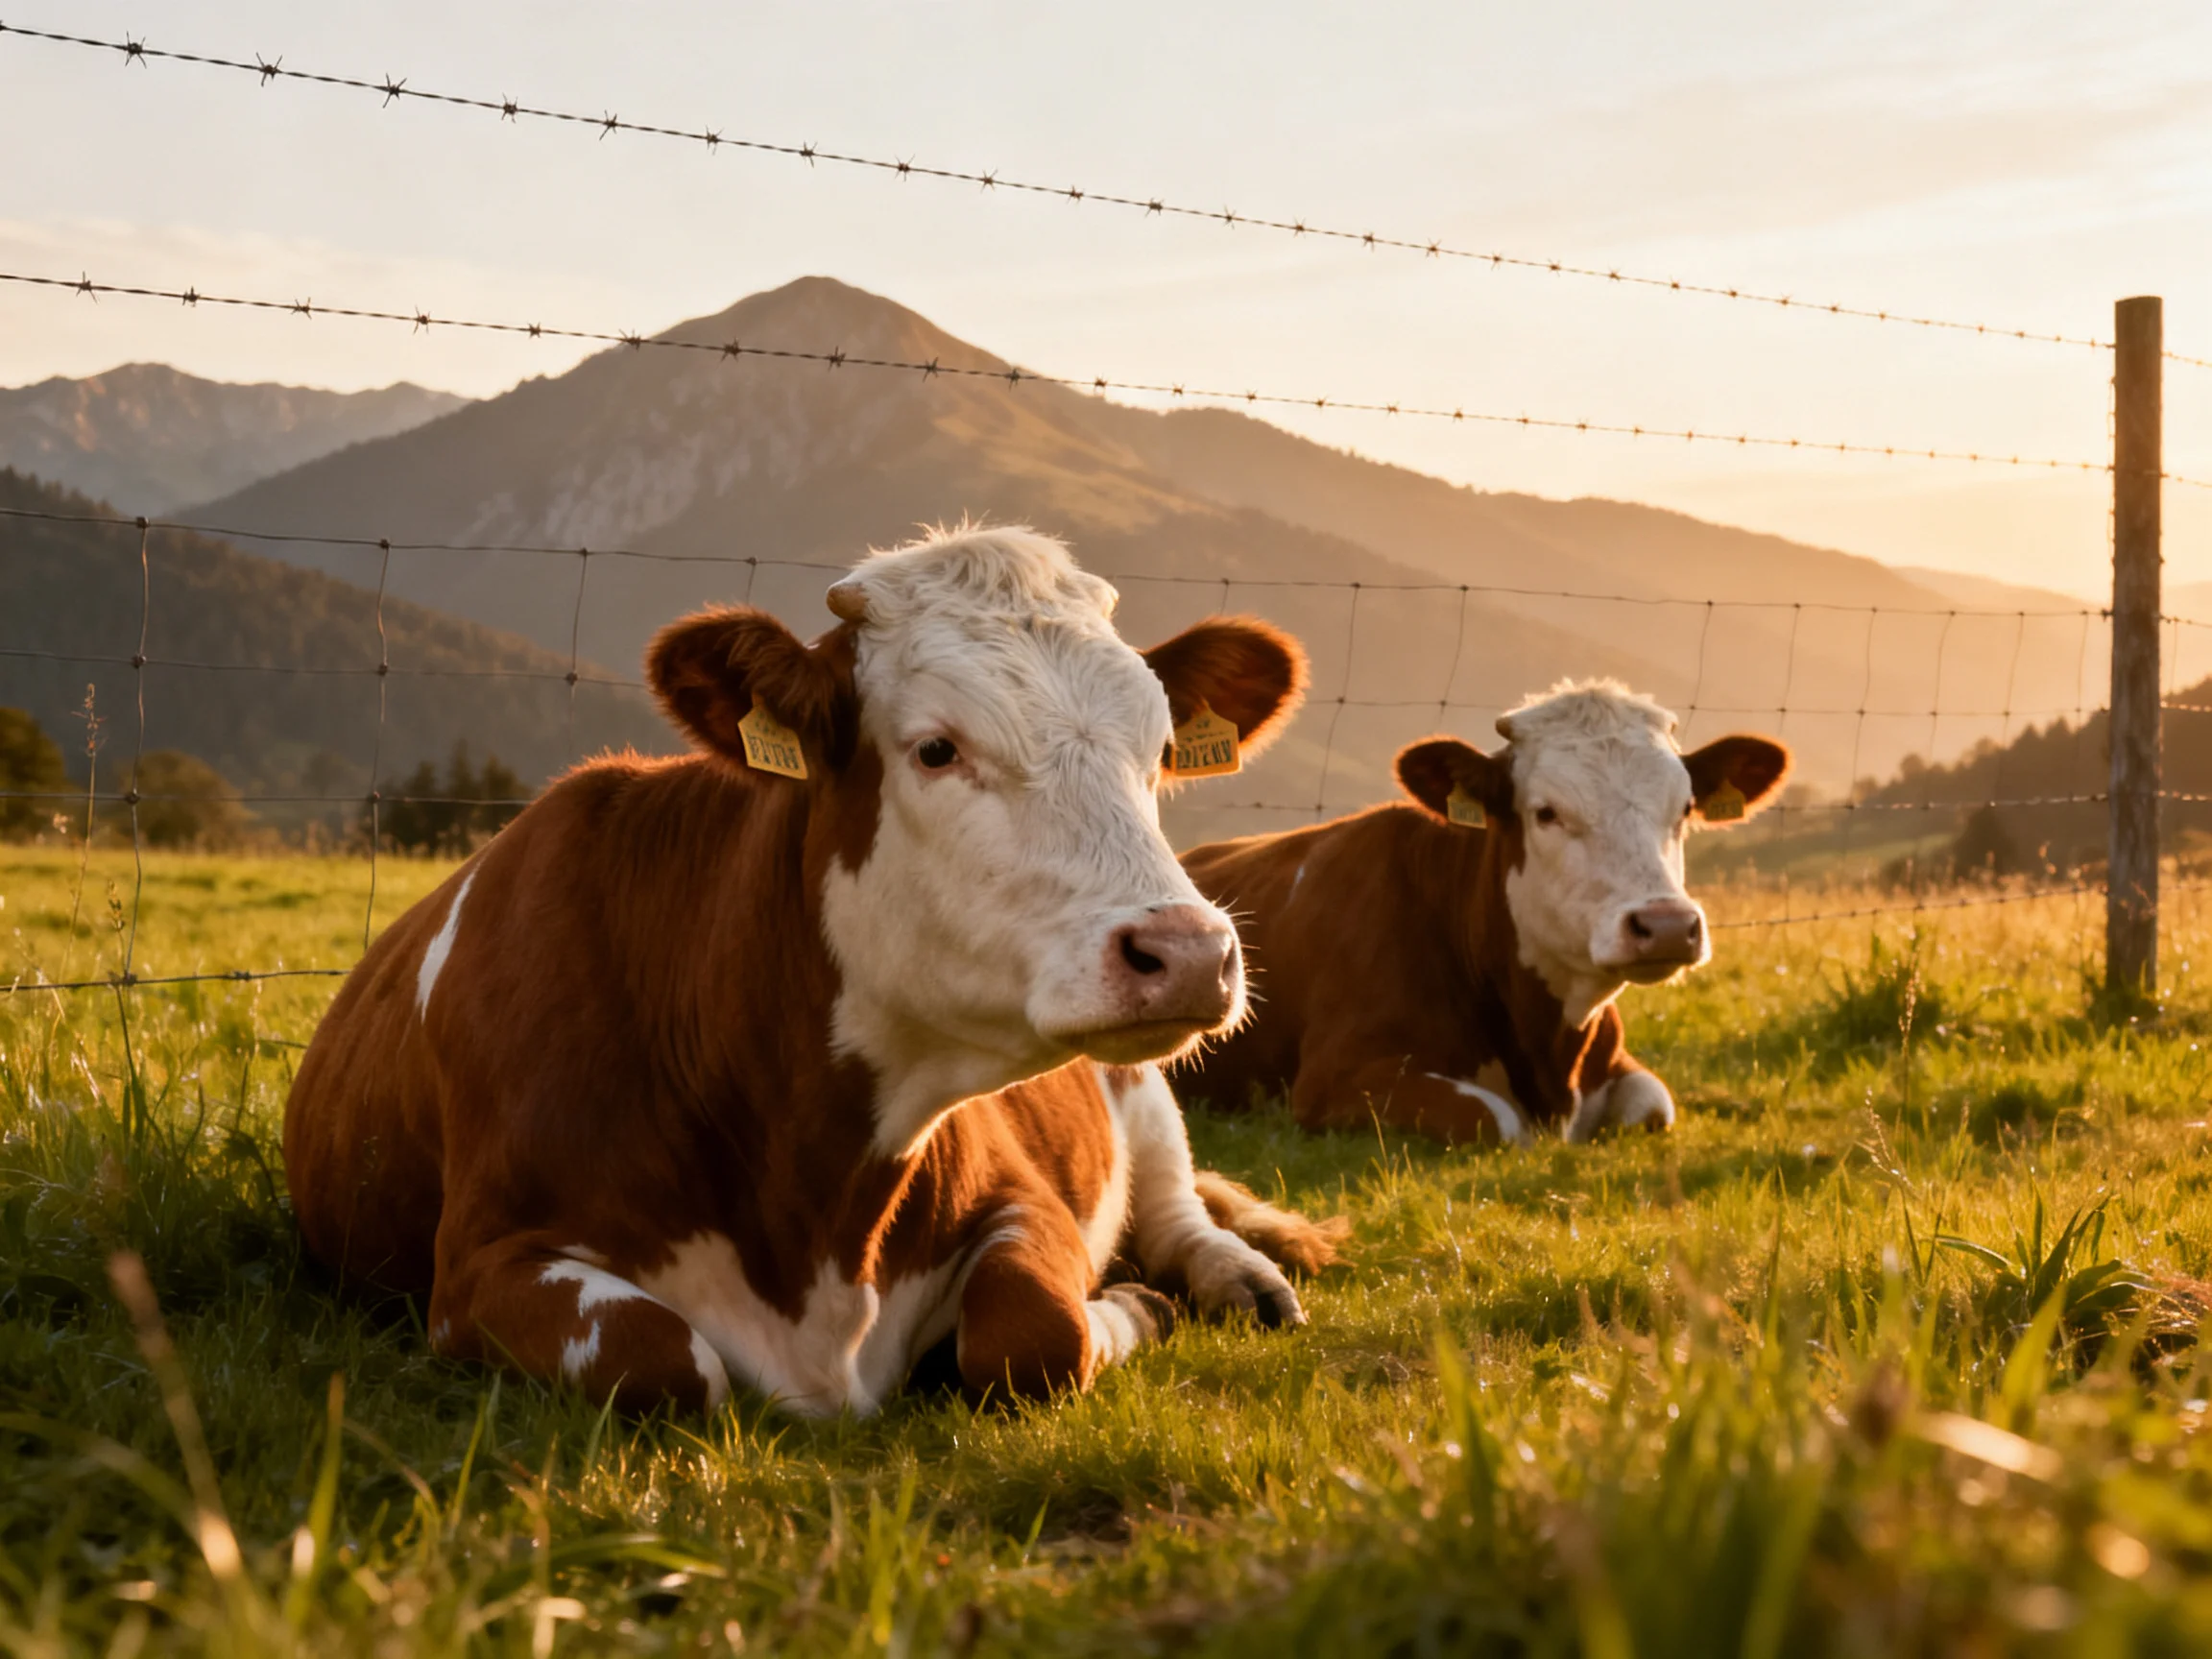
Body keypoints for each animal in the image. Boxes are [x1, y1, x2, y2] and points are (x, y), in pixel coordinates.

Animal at [284, 527, 1345, 1417]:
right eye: (935, 748)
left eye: (1160, 751)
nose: (1190, 952)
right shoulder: (474, 1266)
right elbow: (656, 1355)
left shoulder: (1021, 1195)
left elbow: (1035, 1333)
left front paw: (1133, 1307)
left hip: (1139, 1088)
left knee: (1175, 1202)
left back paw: (1242, 1278)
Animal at [1177, 681, 1789, 1145]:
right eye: (1546, 812)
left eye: (1684, 808)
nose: (1665, 926)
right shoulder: (1335, 1079)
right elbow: (1496, 1120)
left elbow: (1653, 1105)